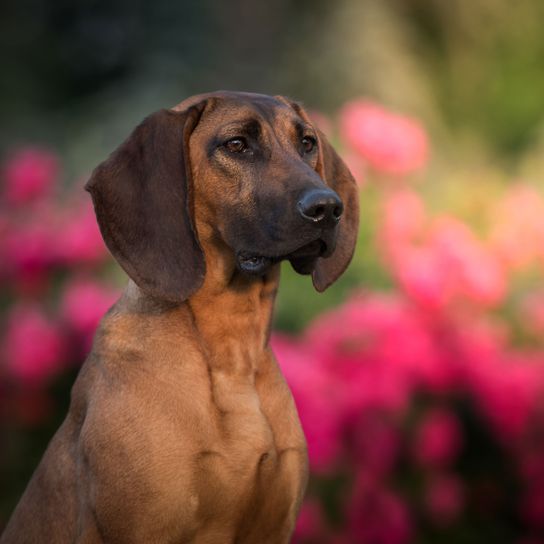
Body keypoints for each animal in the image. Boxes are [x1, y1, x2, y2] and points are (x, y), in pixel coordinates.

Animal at [2, 91, 360, 540]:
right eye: (236, 145)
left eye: (308, 143)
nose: (328, 207)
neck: (233, 354)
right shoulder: (143, 528)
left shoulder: (272, 528)